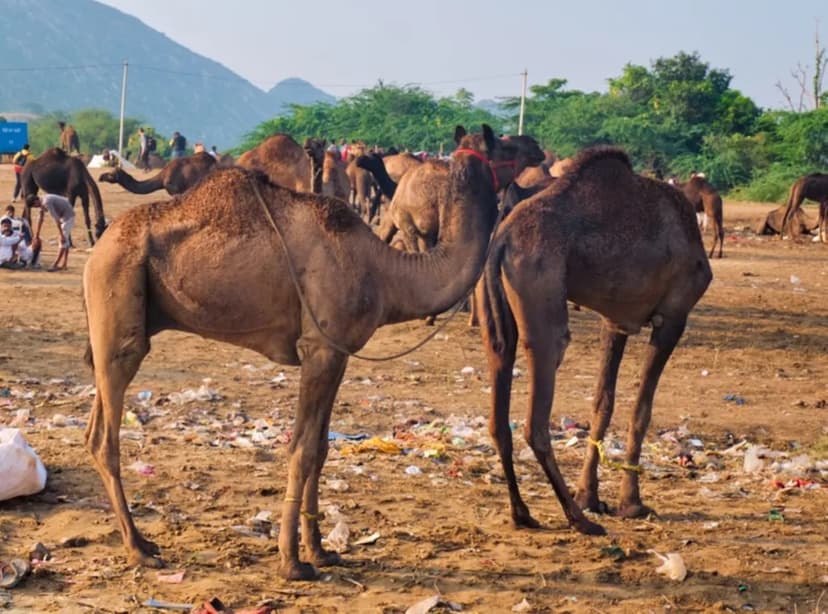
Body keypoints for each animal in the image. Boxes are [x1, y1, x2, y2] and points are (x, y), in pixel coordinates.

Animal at [82, 125, 504, 580]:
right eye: (508, 149)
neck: (386, 272)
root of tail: (99, 246)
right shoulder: (318, 348)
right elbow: (301, 450)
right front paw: (292, 561)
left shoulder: (338, 351)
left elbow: (320, 449)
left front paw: (321, 550)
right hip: (118, 291)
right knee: (107, 430)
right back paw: (137, 549)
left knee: (94, 421)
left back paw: (143, 541)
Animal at [477, 147, 711, 536]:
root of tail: (503, 238)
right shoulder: (673, 315)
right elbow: (641, 409)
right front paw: (631, 503)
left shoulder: (614, 320)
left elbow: (603, 402)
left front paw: (591, 496)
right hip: (544, 303)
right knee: (536, 423)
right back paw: (578, 519)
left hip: (495, 314)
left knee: (499, 410)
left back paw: (523, 513)